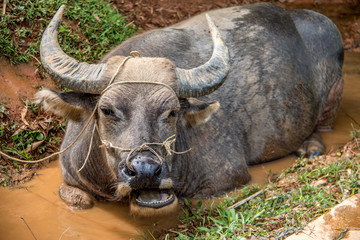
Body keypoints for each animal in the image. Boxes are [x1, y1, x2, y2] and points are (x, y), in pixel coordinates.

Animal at [36, 2, 344, 216]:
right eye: (107, 110)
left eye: (171, 112)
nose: (146, 170)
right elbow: (79, 199)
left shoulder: (227, 177)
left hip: (334, 92)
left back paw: (310, 147)